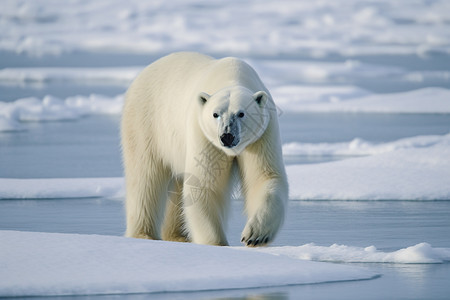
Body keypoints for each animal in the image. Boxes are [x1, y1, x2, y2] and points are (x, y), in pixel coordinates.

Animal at [121, 52, 288, 247]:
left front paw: (255, 235)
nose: (227, 136)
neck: (231, 76)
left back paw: (177, 236)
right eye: (215, 114)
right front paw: (216, 244)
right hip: (145, 122)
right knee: (145, 178)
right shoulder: (203, 133)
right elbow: (204, 184)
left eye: (241, 113)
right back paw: (143, 235)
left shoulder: (261, 136)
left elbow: (264, 177)